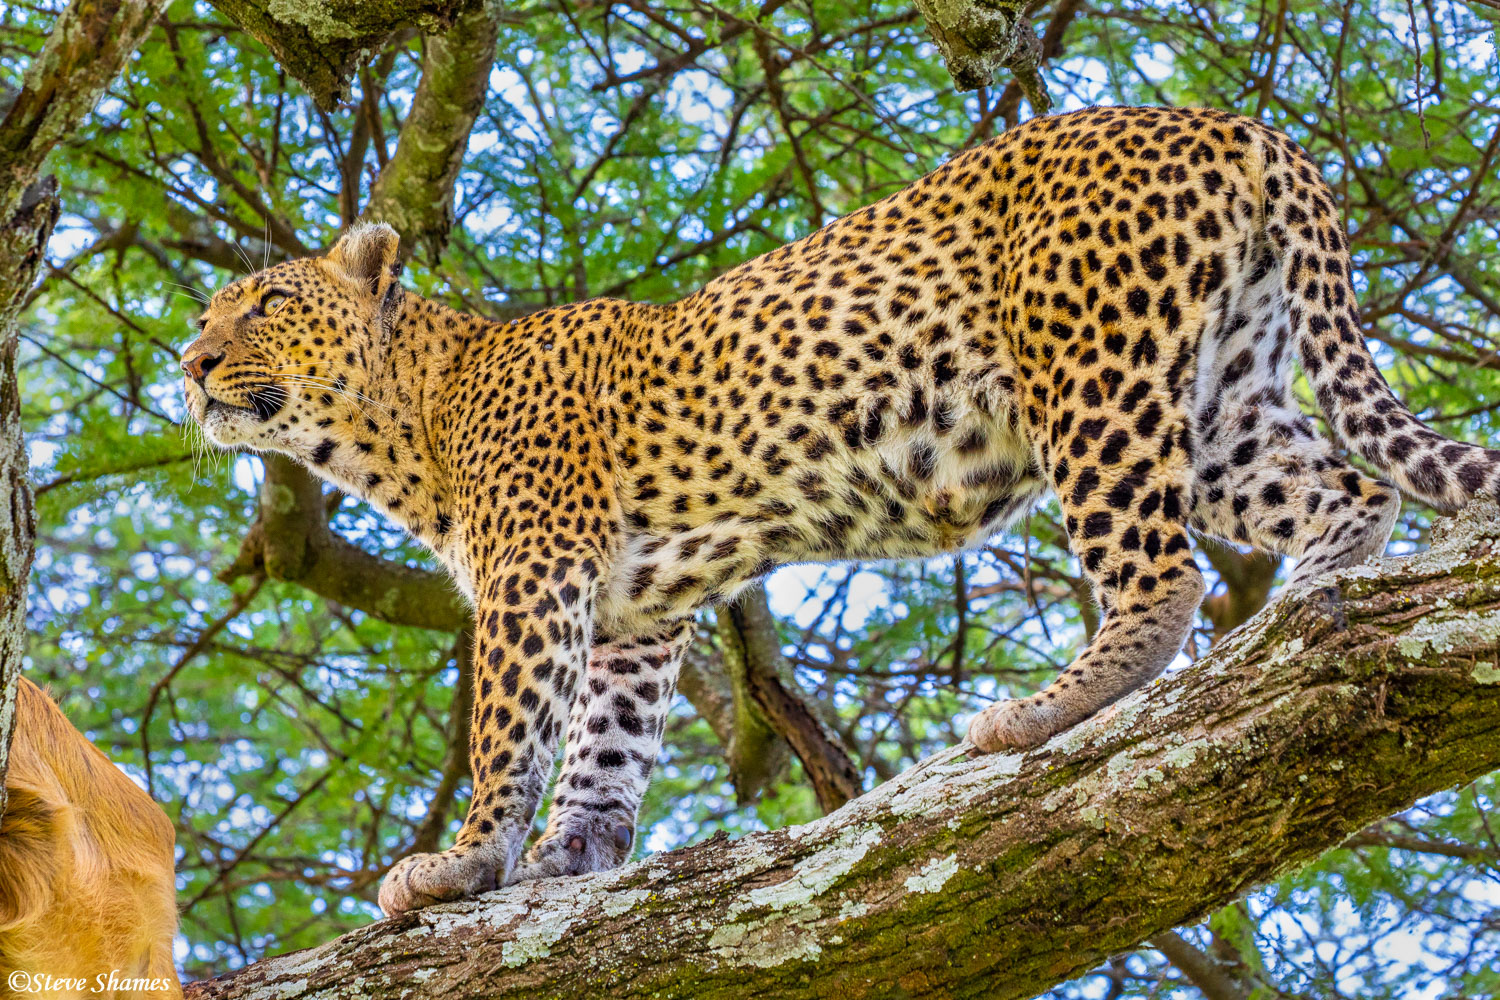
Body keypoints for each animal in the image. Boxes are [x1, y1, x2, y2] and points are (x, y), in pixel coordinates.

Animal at [181, 105, 1500, 916]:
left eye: (265, 304)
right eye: (206, 311)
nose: (189, 364)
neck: (409, 422)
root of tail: (1237, 119)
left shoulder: (534, 571)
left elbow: (511, 728)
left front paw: (463, 864)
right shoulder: (633, 612)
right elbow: (604, 744)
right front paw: (568, 857)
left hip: (1090, 372)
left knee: (1159, 571)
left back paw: (1044, 713)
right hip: (1223, 398)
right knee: (1349, 487)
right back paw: (1309, 612)